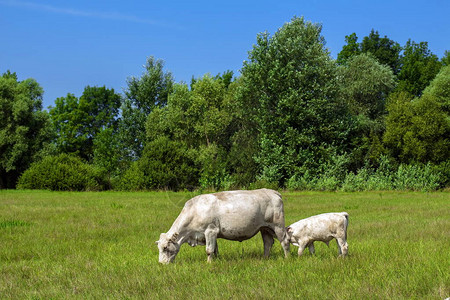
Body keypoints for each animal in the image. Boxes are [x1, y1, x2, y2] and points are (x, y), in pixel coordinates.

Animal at [156, 189, 290, 264]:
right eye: (159, 248)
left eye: (165, 248)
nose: (161, 264)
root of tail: (272, 191)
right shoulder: (211, 234)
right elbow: (215, 249)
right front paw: (216, 260)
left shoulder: (210, 231)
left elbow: (209, 250)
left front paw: (209, 264)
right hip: (265, 228)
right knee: (267, 242)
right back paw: (265, 258)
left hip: (278, 226)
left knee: (285, 241)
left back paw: (287, 258)